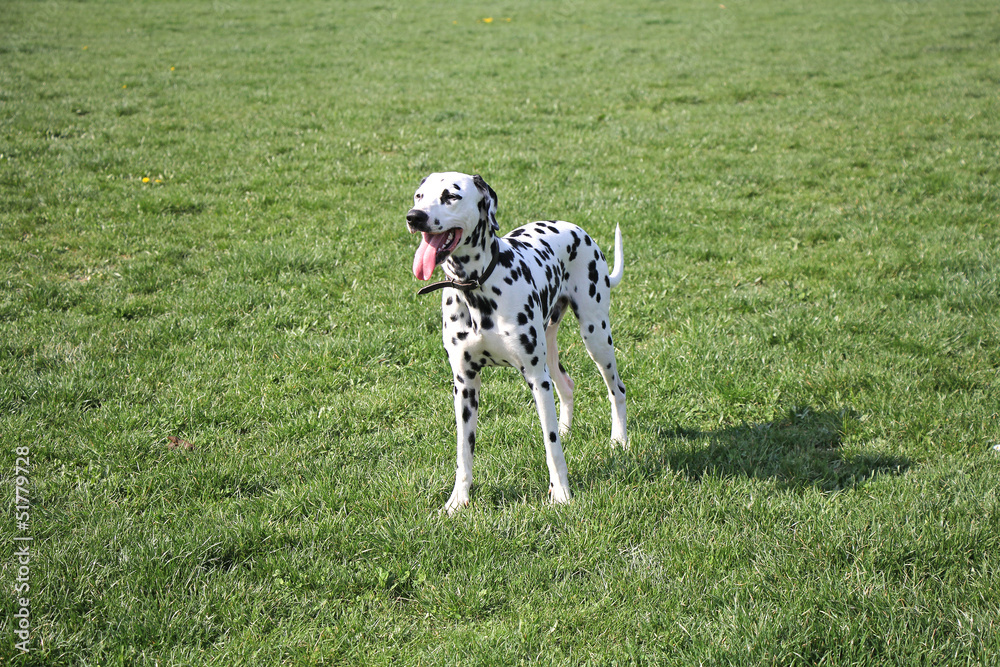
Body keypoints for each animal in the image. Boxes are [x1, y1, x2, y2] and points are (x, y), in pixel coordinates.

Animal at [404, 172, 624, 516]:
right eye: (419, 195)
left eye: (450, 196)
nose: (415, 217)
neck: (477, 288)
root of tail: (577, 229)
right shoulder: (464, 385)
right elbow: (463, 452)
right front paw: (457, 501)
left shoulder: (535, 378)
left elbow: (550, 446)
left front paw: (561, 494)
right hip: (551, 349)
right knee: (567, 385)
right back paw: (567, 429)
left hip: (596, 337)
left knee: (617, 390)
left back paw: (620, 441)